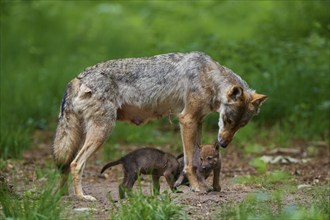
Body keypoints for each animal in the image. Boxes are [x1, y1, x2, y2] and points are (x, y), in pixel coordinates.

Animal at [52, 52, 268, 201]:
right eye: (228, 120)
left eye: (241, 125)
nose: (223, 144)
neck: (209, 76)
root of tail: (78, 77)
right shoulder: (187, 120)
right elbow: (191, 162)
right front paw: (198, 188)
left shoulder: (197, 122)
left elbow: (196, 158)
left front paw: (200, 185)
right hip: (101, 132)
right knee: (76, 164)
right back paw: (82, 197)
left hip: (82, 136)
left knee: (66, 165)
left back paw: (64, 195)